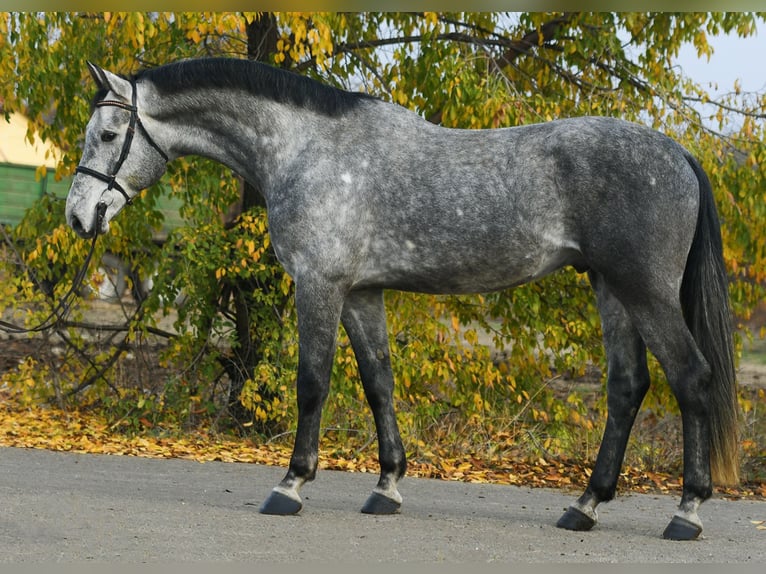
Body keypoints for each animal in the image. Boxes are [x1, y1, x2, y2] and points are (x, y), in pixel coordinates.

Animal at [65, 57, 739, 541]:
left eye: (108, 132)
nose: (78, 216)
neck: (308, 149)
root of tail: (678, 153)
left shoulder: (320, 285)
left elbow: (313, 382)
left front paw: (291, 485)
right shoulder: (362, 294)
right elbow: (378, 383)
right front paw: (386, 487)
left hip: (645, 292)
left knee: (692, 379)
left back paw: (686, 512)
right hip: (611, 289)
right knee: (627, 387)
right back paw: (584, 506)